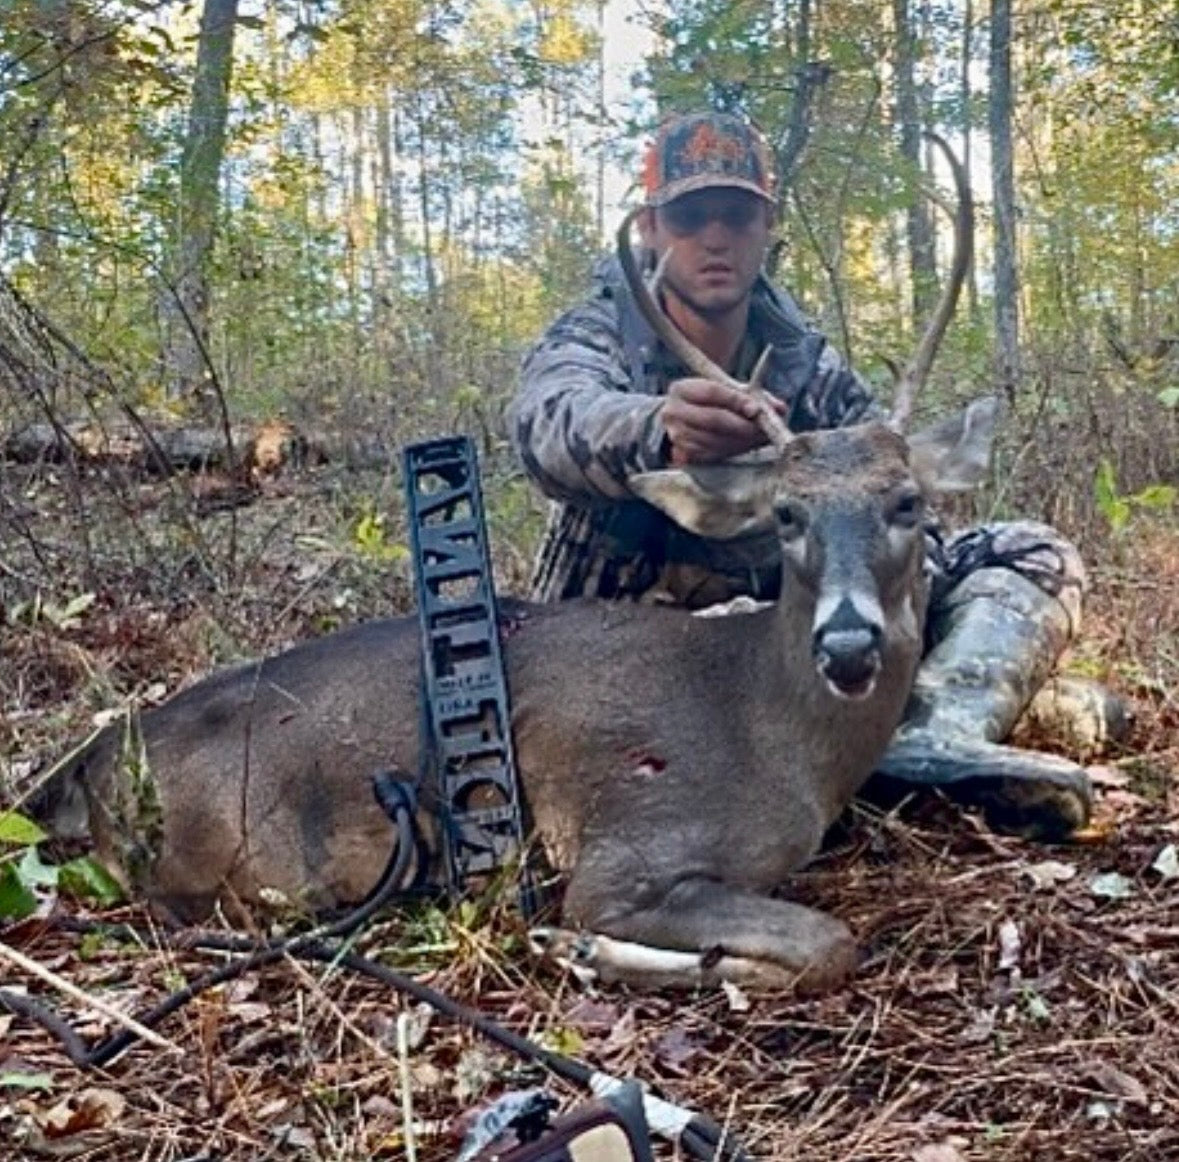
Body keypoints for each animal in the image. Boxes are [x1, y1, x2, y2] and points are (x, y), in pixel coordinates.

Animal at [30, 137, 991, 992]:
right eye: (787, 514)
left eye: (907, 502)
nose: (848, 645)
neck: (778, 734)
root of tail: (91, 760)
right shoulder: (631, 847)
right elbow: (827, 944)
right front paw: (589, 949)